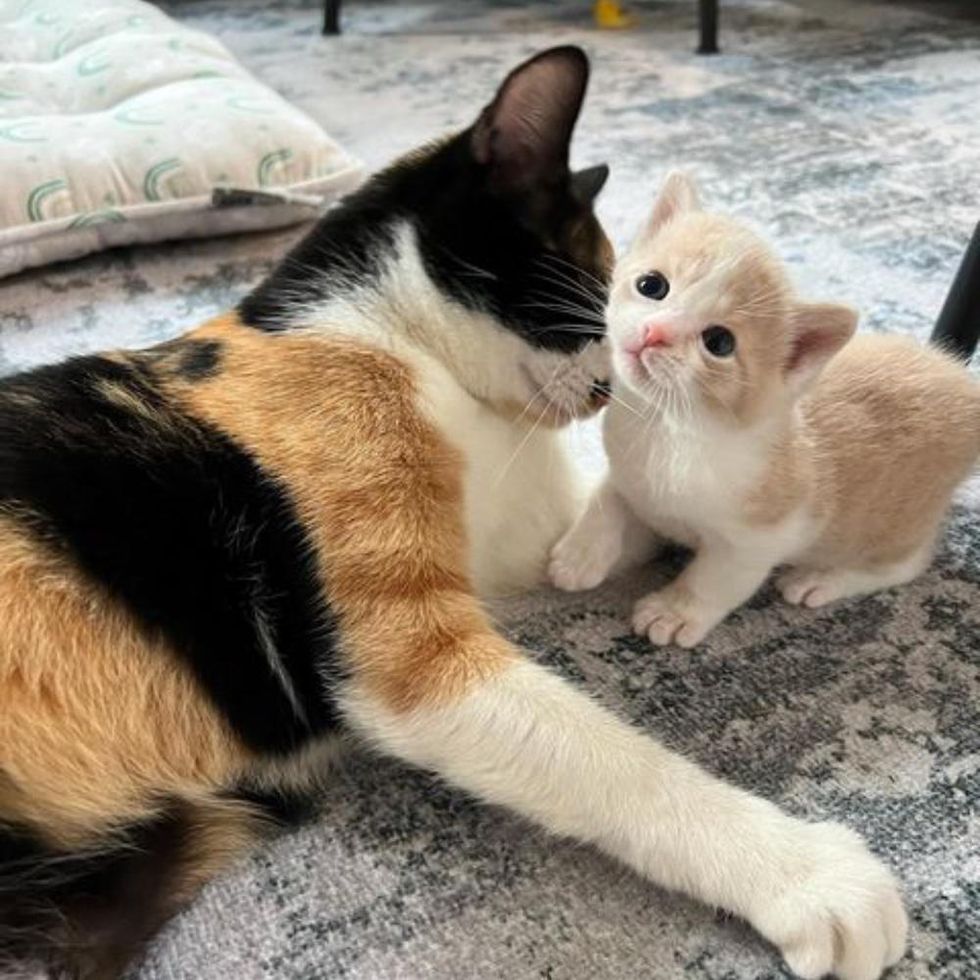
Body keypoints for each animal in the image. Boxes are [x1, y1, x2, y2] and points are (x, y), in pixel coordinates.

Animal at [0, 51, 904, 980]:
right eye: (603, 288)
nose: (612, 382)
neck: (388, 338)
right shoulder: (412, 657)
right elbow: (614, 763)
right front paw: (807, 874)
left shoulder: (521, 528)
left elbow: (625, 509)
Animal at [548, 174, 980, 652]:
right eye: (652, 285)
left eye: (719, 342)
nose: (653, 332)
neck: (669, 427)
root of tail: (960, 379)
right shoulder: (630, 471)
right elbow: (610, 495)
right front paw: (581, 551)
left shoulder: (760, 537)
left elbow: (716, 578)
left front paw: (675, 611)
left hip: (888, 523)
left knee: (905, 562)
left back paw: (820, 578)